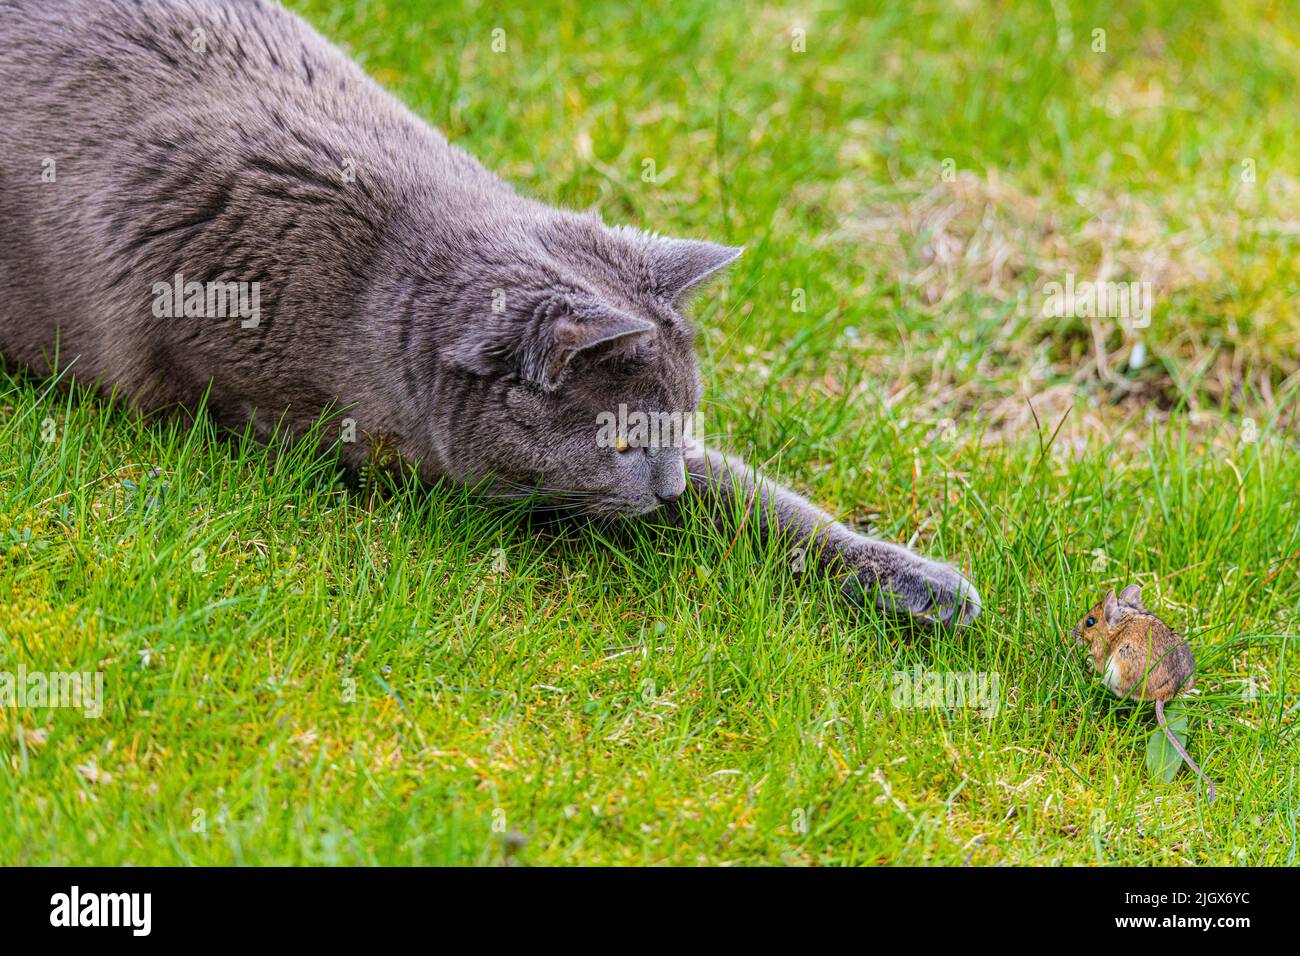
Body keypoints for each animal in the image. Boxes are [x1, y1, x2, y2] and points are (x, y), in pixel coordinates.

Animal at [0, 0, 977, 629]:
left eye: (683, 423)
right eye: (625, 440)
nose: (665, 492)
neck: (378, 276)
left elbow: (760, 497)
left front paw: (921, 586)